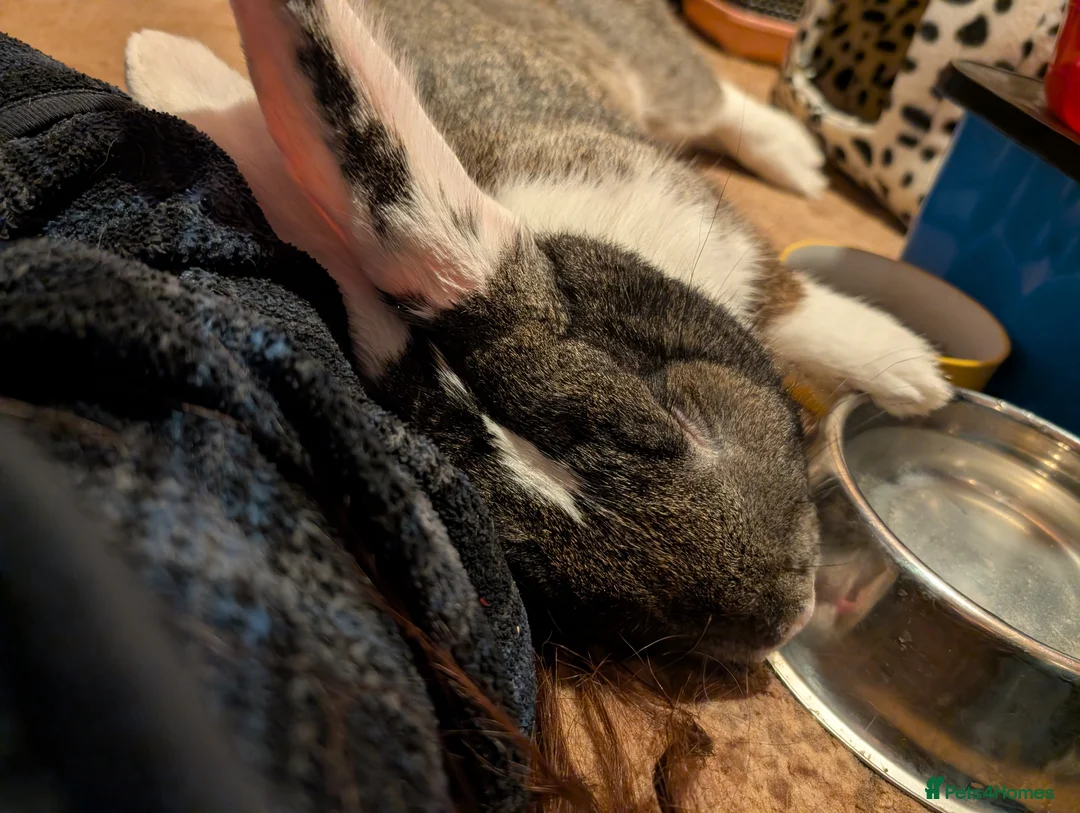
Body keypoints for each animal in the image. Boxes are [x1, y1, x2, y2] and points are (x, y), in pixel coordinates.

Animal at [123, 0, 951, 664]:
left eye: (677, 418)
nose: (791, 613)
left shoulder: (718, 236)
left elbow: (796, 305)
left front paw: (917, 380)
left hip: (653, 74)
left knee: (716, 99)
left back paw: (802, 160)